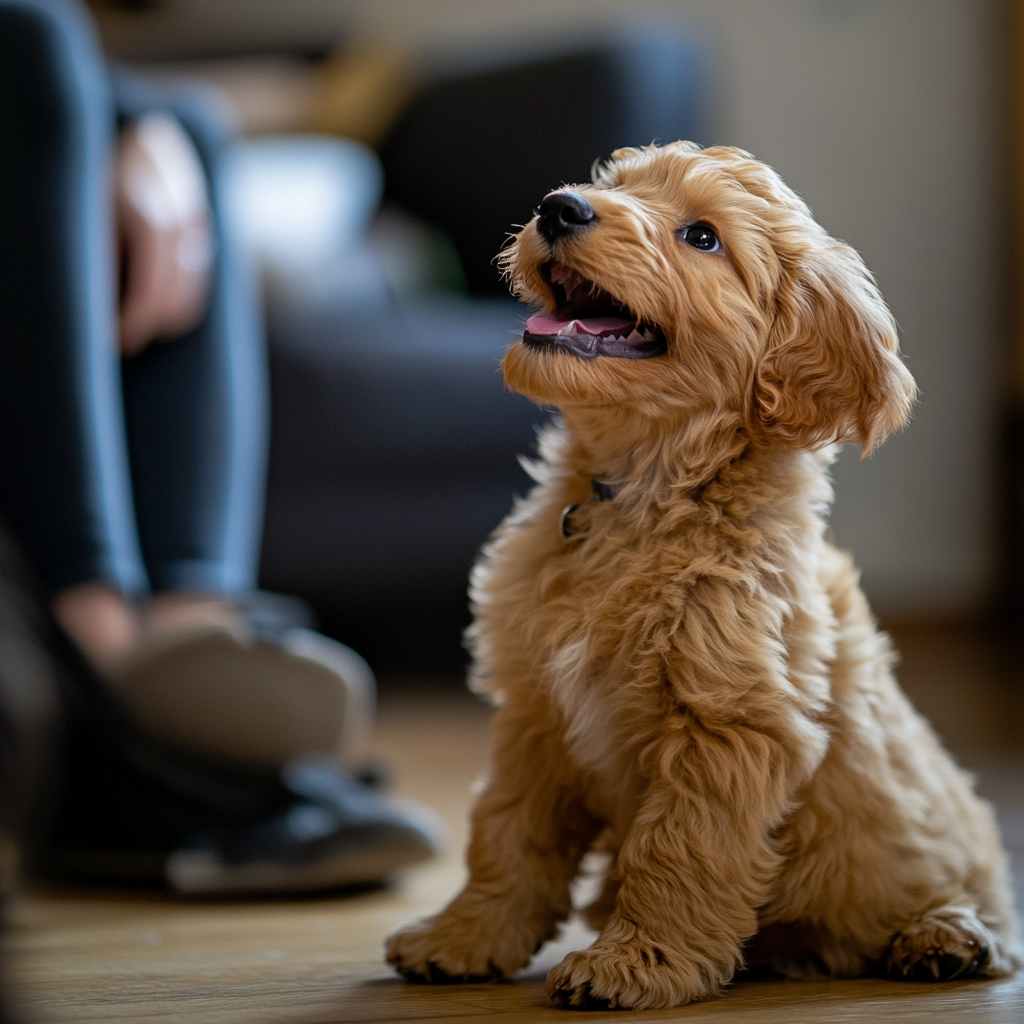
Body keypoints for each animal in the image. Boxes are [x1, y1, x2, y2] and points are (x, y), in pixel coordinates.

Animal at [387, 142, 1019, 1007]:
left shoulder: (728, 723)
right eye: (610, 186)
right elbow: (508, 833)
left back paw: (944, 937)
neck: (644, 493)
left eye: (702, 236)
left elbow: (679, 851)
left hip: (948, 846)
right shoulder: (534, 712)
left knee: (981, 902)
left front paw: (630, 964)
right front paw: (464, 937)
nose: (559, 207)